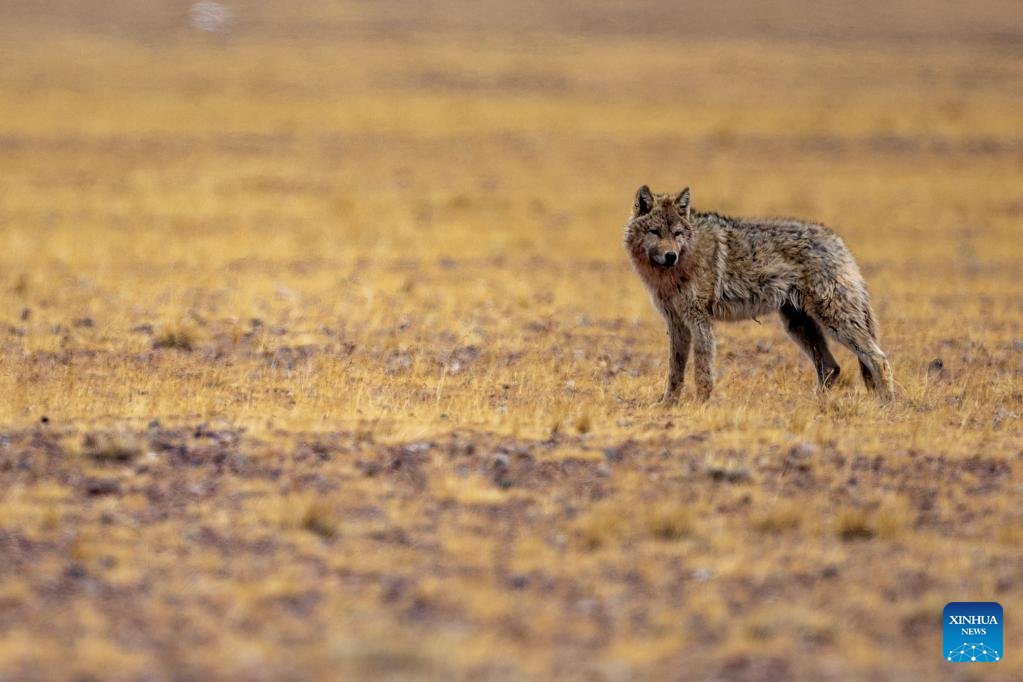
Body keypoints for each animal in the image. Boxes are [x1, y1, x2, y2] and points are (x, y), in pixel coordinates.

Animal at [617, 184, 892, 402]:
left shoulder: (699, 319)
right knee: (831, 367)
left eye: (677, 233)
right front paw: (668, 404)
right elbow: (675, 371)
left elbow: (702, 369)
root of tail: (838, 240)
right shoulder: (677, 323)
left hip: (833, 321)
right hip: (798, 326)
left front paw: (700, 404)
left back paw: (886, 405)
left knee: (878, 358)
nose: (670, 256)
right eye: (655, 232)